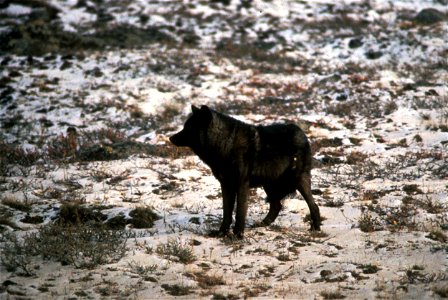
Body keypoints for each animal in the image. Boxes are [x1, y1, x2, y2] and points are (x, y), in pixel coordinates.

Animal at [170, 104, 320, 238]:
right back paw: (263, 224)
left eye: (188, 128)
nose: (171, 138)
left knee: (314, 205)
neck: (226, 145)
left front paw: (238, 235)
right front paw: (221, 233)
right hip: (269, 185)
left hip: (297, 180)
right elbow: (226, 212)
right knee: (277, 206)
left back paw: (316, 228)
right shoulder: (226, 185)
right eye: (184, 126)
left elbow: (240, 212)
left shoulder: (241, 185)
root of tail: (301, 132)